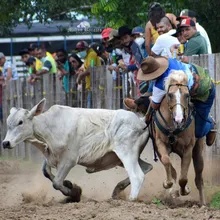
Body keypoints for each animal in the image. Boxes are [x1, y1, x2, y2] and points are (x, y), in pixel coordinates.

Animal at [2, 99, 153, 202]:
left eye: (20, 122)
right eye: (8, 123)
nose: (5, 143)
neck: (51, 126)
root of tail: (141, 121)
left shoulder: (69, 160)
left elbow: (57, 183)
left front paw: (73, 192)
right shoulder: (50, 155)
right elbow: (46, 172)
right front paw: (69, 184)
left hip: (126, 153)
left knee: (137, 175)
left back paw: (131, 200)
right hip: (122, 158)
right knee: (147, 167)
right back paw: (117, 190)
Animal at [150, 69, 206, 205]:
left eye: (187, 95)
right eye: (170, 95)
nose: (179, 119)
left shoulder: (188, 148)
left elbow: (183, 178)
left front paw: (185, 190)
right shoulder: (160, 144)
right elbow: (167, 162)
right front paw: (168, 184)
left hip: (198, 151)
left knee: (199, 178)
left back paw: (203, 204)